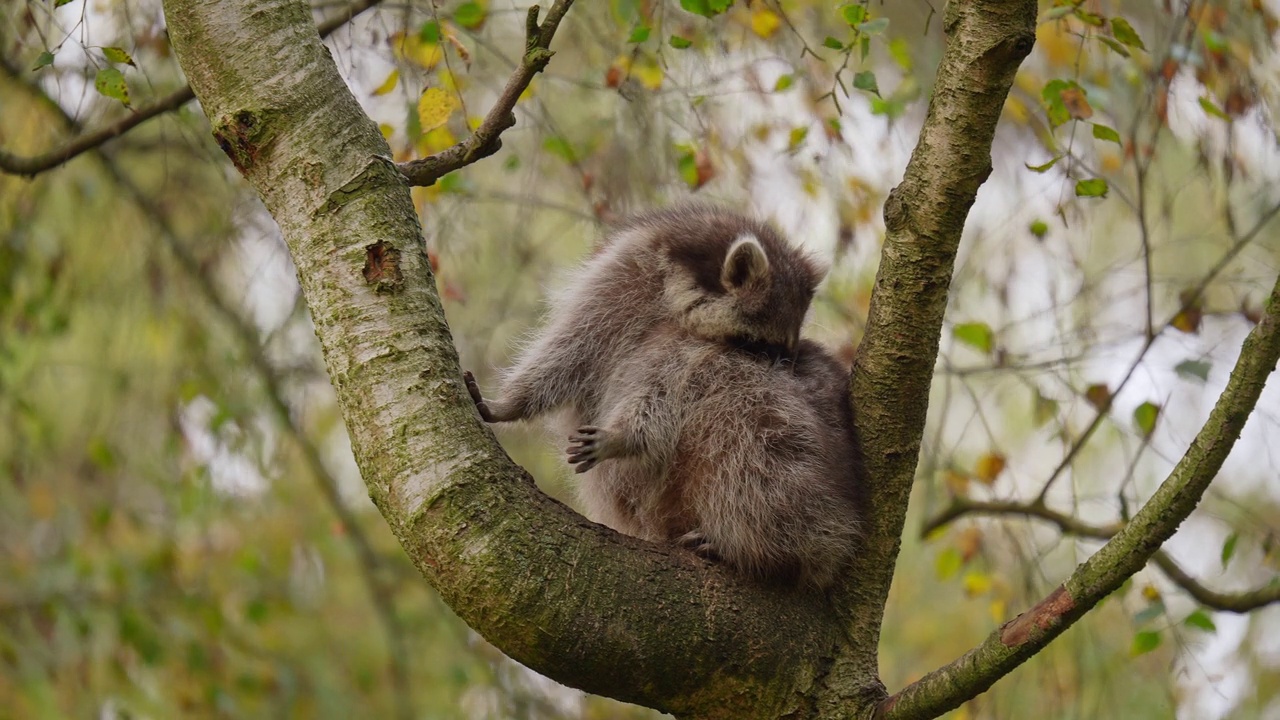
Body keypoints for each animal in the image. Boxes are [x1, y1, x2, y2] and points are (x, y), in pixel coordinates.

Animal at [465, 204, 865, 586]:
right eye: (758, 344)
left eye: (786, 347)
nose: (789, 370)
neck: (681, 292)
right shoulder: (622, 277)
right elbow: (567, 351)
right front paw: (512, 402)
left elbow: (663, 378)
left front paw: (624, 434)